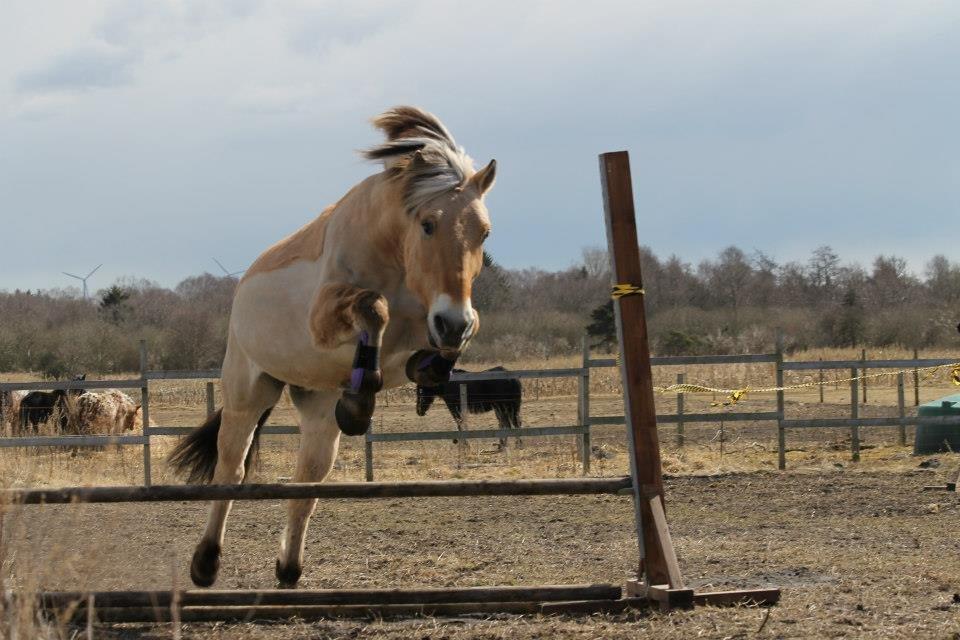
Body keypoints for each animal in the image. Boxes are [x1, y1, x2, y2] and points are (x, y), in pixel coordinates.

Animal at [171, 106, 496, 592]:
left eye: (484, 233)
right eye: (427, 224)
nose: (451, 322)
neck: (395, 258)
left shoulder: (439, 323)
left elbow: (448, 344)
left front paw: (419, 370)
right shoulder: (326, 317)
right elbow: (373, 307)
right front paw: (361, 400)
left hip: (319, 411)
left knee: (306, 485)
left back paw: (289, 570)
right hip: (249, 393)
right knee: (232, 467)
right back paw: (205, 563)